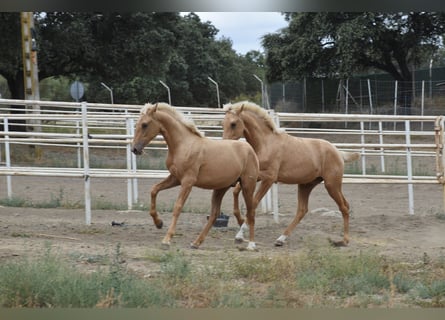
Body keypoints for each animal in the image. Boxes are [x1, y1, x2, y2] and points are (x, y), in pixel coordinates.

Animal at [130, 102, 258, 250]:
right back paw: (196, 243)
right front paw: (159, 223)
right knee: (214, 214)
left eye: (144, 124)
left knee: (251, 212)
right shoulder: (175, 178)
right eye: (137, 123)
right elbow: (154, 190)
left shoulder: (188, 181)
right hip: (221, 188)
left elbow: (178, 206)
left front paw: (167, 239)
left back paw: (251, 244)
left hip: (248, 186)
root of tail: (250, 150)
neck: (183, 145)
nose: (134, 149)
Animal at [222, 101, 360, 246]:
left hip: (331, 184)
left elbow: (253, 203)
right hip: (306, 185)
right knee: (302, 210)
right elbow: (236, 191)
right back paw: (281, 239)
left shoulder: (269, 179)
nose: (225, 145)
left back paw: (344, 240)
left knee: (344, 207)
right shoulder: (255, 176)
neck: (266, 144)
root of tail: (338, 152)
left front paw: (240, 234)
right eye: (222, 124)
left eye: (233, 124)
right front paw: (239, 221)